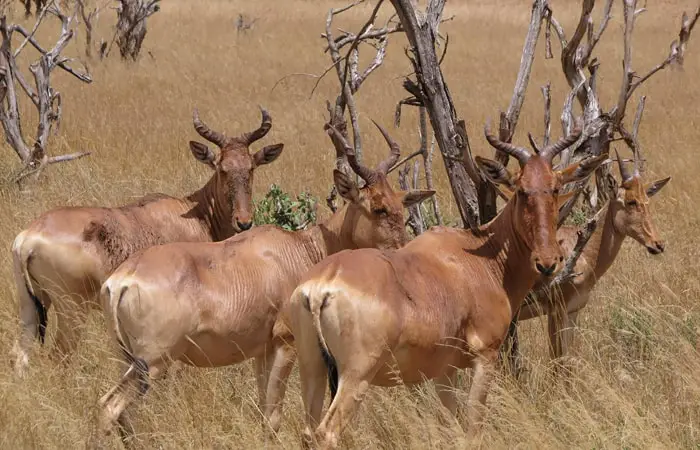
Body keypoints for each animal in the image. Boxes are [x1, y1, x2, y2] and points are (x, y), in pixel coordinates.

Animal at [9, 107, 280, 374]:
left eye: (251, 168)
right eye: (221, 169)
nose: (243, 222)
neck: (194, 214)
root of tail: (28, 238)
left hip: (30, 306)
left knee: (20, 354)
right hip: (71, 310)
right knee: (58, 357)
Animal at [93, 121, 432, 444]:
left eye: (400, 206)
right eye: (378, 208)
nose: (405, 253)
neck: (299, 248)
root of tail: (120, 280)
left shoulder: (261, 351)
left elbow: (261, 413)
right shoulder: (285, 344)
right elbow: (272, 418)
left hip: (127, 358)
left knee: (121, 415)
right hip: (152, 361)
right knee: (109, 407)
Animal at [286, 124, 608, 450]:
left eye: (555, 187)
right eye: (521, 189)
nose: (547, 262)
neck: (478, 257)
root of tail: (322, 286)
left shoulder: (445, 373)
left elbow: (451, 429)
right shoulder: (485, 356)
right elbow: (473, 431)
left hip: (312, 368)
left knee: (308, 432)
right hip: (357, 374)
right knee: (326, 433)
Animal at [512, 148, 668, 362]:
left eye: (647, 200)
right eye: (630, 201)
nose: (657, 244)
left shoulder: (573, 311)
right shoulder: (556, 311)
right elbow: (557, 361)